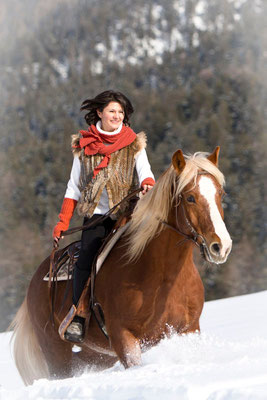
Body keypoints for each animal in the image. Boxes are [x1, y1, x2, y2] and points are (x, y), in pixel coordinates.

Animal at [11, 147, 232, 384]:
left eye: (220, 194)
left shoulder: (189, 329)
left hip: (95, 354)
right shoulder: (123, 338)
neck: (162, 276)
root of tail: (38, 278)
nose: (221, 246)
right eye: (190, 197)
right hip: (56, 353)